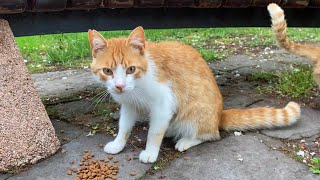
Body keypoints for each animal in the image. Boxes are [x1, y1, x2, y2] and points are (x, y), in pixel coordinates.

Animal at [88, 26, 300, 163]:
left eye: (131, 69)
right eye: (107, 71)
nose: (119, 86)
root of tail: (219, 115)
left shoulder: (163, 104)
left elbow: (154, 132)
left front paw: (150, 152)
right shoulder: (129, 105)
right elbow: (124, 126)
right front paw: (118, 144)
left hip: (194, 114)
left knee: (211, 135)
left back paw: (186, 140)